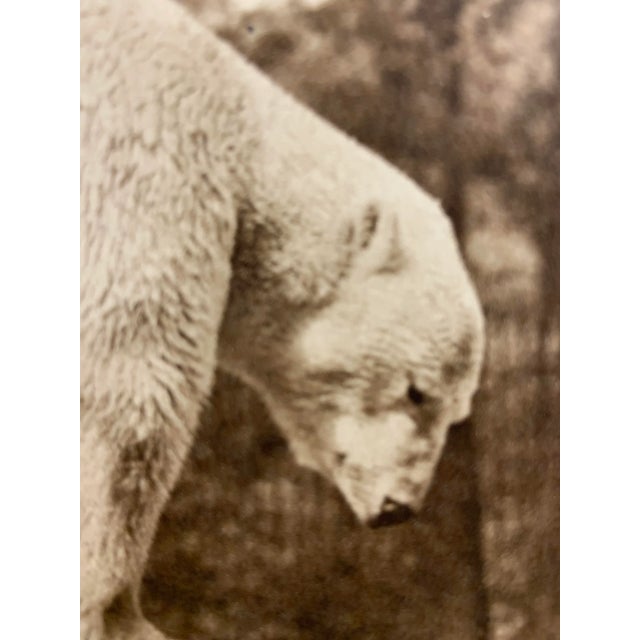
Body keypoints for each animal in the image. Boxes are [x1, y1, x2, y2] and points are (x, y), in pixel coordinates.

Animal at [80, 0, 485, 638]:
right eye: (417, 392)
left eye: (458, 410)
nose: (401, 508)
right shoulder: (148, 177)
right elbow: (135, 394)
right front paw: (119, 613)